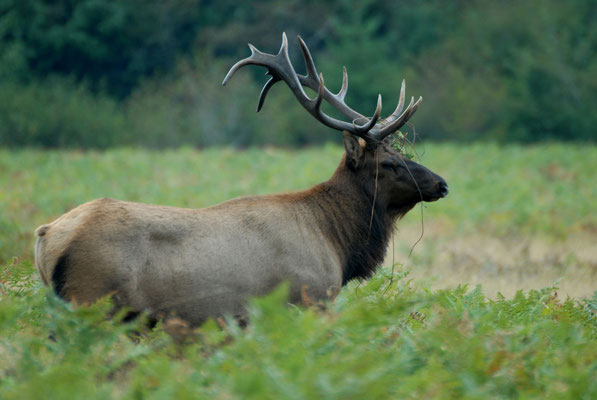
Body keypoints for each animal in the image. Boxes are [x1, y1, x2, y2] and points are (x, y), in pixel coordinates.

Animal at [33, 34, 448, 326]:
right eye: (390, 162)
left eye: (405, 154)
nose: (442, 184)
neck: (336, 243)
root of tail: (45, 234)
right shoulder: (308, 298)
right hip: (93, 301)